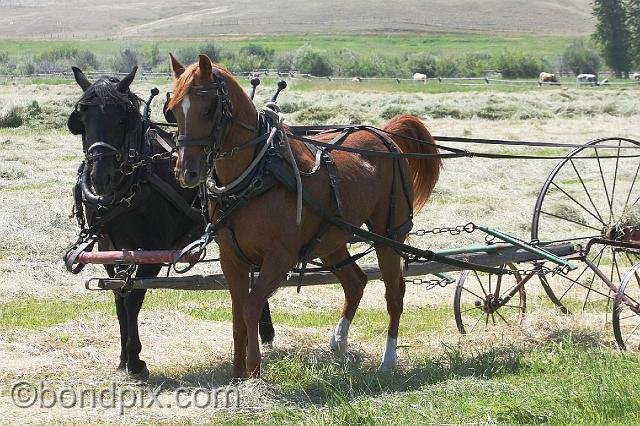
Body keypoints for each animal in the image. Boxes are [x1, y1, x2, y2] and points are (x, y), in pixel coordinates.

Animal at [65, 66, 276, 380]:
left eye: (123, 118)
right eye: (83, 119)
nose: (100, 178)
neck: (132, 184)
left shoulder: (152, 250)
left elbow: (133, 298)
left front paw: (135, 360)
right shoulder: (107, 248)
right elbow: (118, 298)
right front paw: (123, 358)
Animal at [168, 53, 442, 376]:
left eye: (209, 109)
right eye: (174, 111)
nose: (186, 172)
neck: (257, 174)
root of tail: (385, 136)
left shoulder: (279, 258)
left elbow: (250, 307)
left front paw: (254, 371)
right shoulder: (231, 258)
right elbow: (237, 316)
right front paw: (237, 377)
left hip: (389, 234)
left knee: (394, 294)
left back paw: (388, 361)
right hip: (332, 241)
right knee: (356, 283)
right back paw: (339, 343)